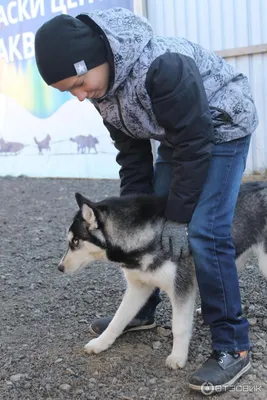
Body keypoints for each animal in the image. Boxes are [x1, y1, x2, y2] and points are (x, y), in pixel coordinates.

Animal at [59, 181, 267, 368]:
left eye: (75, 241)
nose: (59, 267)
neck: (145, 237)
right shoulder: (138, 287)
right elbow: (118, 319)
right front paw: (101, 343)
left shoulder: (181, 287)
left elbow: (180, 326)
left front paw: (178, 357)